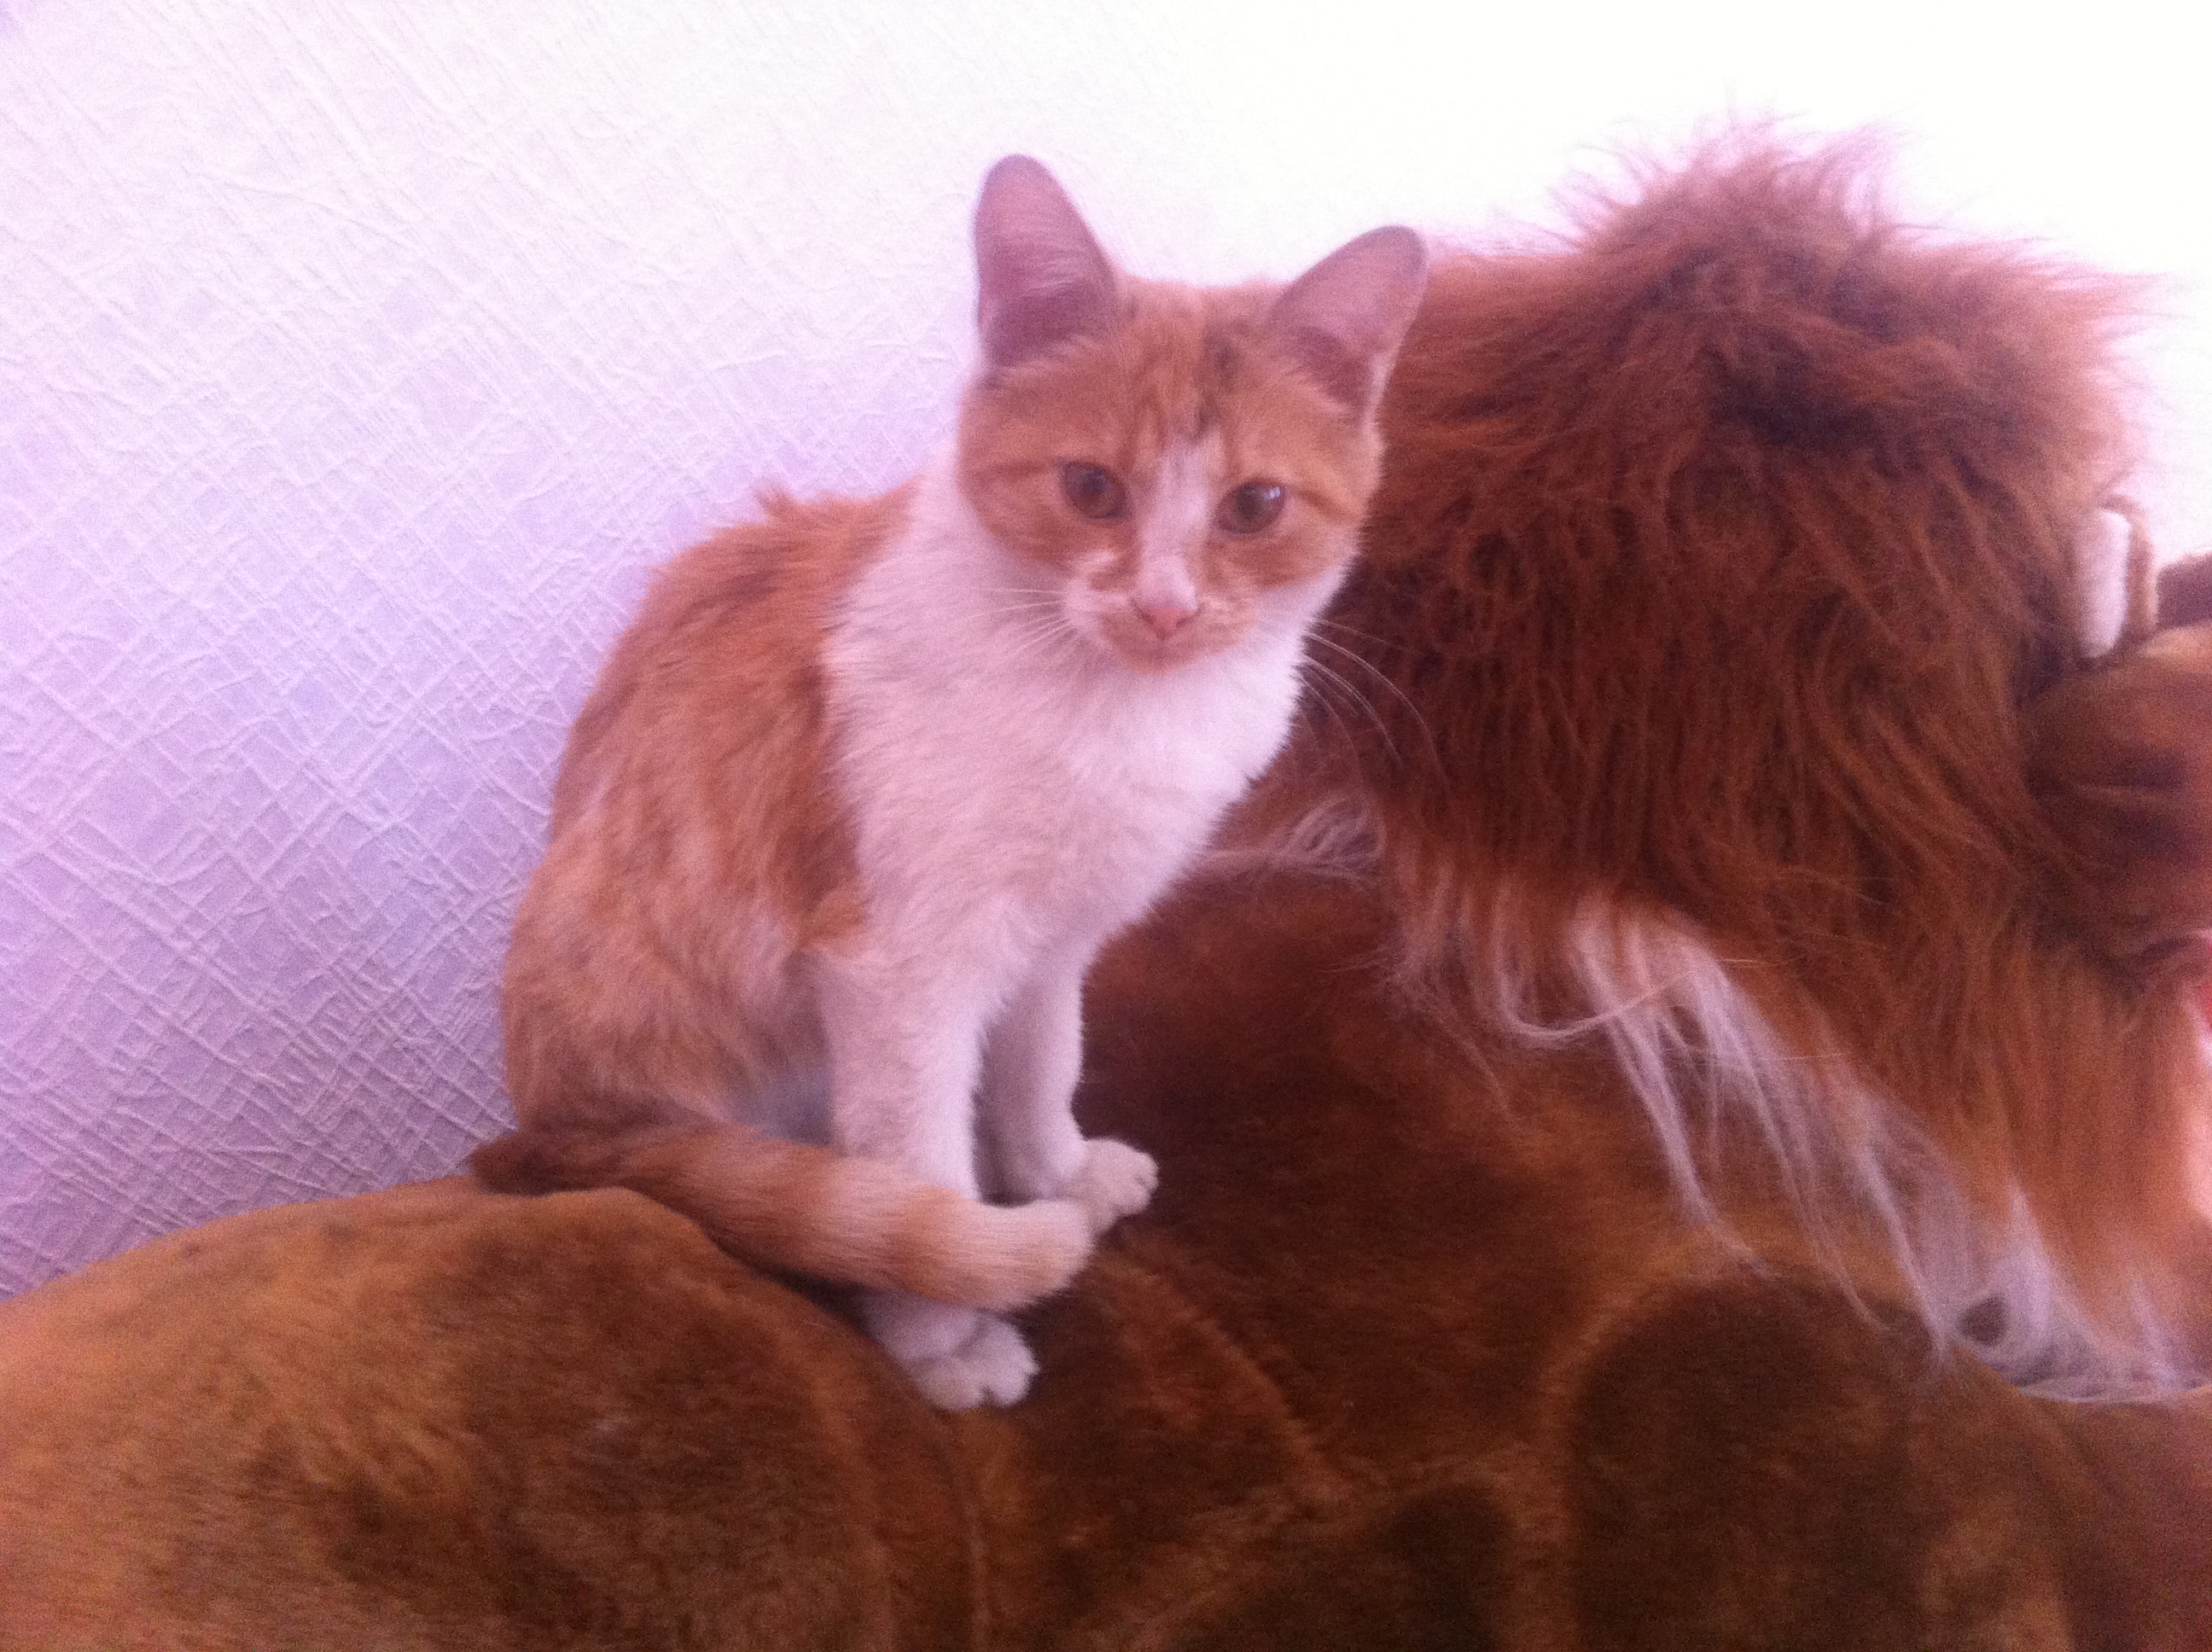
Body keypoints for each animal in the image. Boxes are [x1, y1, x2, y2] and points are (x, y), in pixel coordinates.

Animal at [471, 155, 1427, 1408]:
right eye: (1091, 488)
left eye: (1255, 505)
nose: (1165, 608)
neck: (1112, 710)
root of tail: (550, 1132)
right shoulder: (898, 974)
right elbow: (916, 1164)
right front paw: (945, 1335)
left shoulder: (1056, 940)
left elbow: (1043, 1060)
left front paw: (1055, 1171)